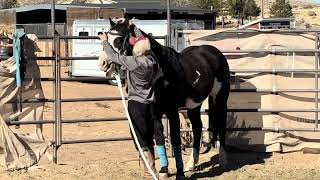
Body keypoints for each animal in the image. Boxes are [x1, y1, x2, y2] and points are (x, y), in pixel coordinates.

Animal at [105, 17, 230, 176]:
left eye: (119, 39)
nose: (104, 63)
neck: (162, 70)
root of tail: (214, 53)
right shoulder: (156, 113)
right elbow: (159, 137)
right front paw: (164, 171)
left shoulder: (172, 112)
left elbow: (175, 139)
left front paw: (178, 171)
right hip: (194, 105)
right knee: (197, 127)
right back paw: (191, 164)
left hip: (220, 98)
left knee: (221, 124)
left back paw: (223, 161)